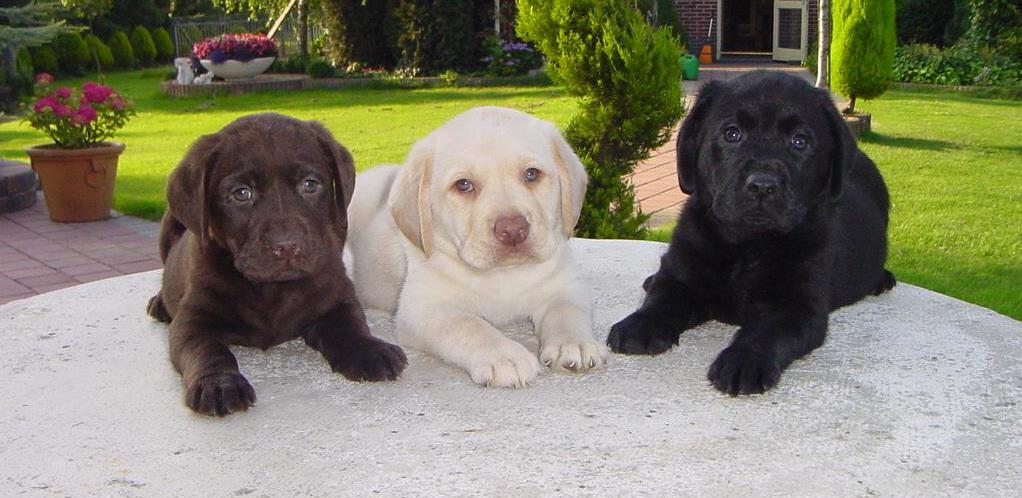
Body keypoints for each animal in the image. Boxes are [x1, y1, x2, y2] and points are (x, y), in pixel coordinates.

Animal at [147, 113, 407, 416]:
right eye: (241, 193)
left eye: (310, 184)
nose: (287, 246)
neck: (272, 289)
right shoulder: (192, 320)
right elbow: (208, 350)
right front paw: (219, 383)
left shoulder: (337, 298)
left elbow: (351, 326)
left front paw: (368, 349)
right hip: (169, 221)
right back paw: (159, 303)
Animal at [346, 106, 607, 387]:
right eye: (463, 184)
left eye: (531, 174)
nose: (513, 230)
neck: (503, 275)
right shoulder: (424, 308)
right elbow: (469, 325)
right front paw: (504, 356)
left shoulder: (566, 285)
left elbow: (567, 311)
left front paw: (575, 344)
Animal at [607, 71, 895, 395]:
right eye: (732, 134)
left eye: (799, 141)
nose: (762, 185)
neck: (747, 246)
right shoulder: (681, 269)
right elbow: (662, 298)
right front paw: (640, 324)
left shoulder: (796, 307)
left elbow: (765, 332)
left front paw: (743, 361)